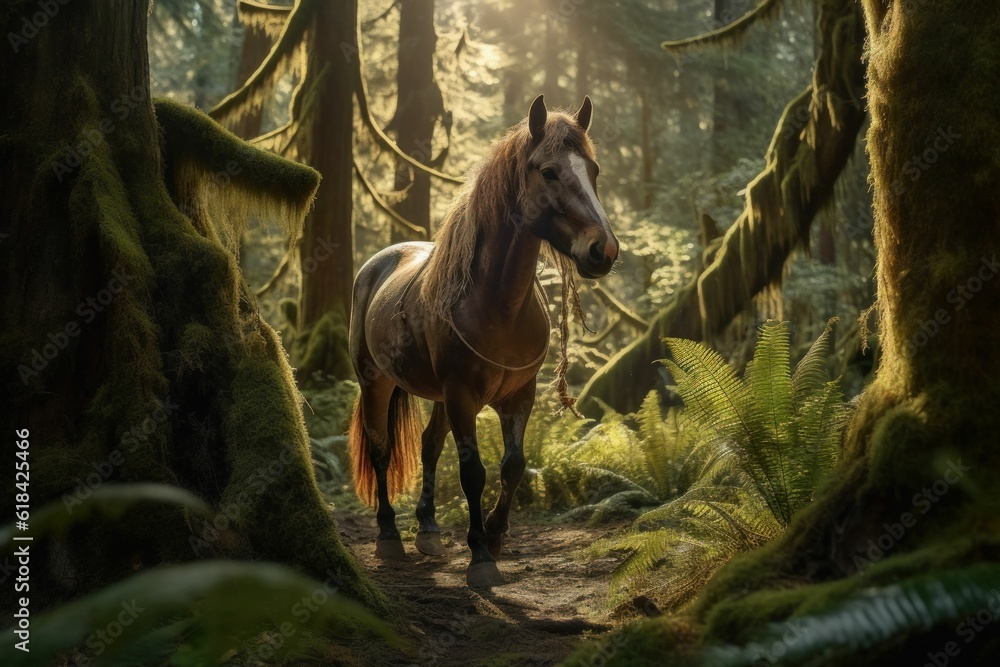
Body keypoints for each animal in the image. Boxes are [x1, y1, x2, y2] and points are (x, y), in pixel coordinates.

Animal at [348, 94, 618, 587]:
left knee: (429, 446)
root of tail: (376, 265)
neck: (498, 305)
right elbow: (473, 472)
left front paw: (493, 536)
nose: (602, 250)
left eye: (593, 170)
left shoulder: (518, 396)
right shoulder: (462, 396)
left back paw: (428, 530)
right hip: (376, 382)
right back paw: (390, 536)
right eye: (548, 171)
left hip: (435, 395)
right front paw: (479, 557)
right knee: (380, 450)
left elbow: (513, 466)